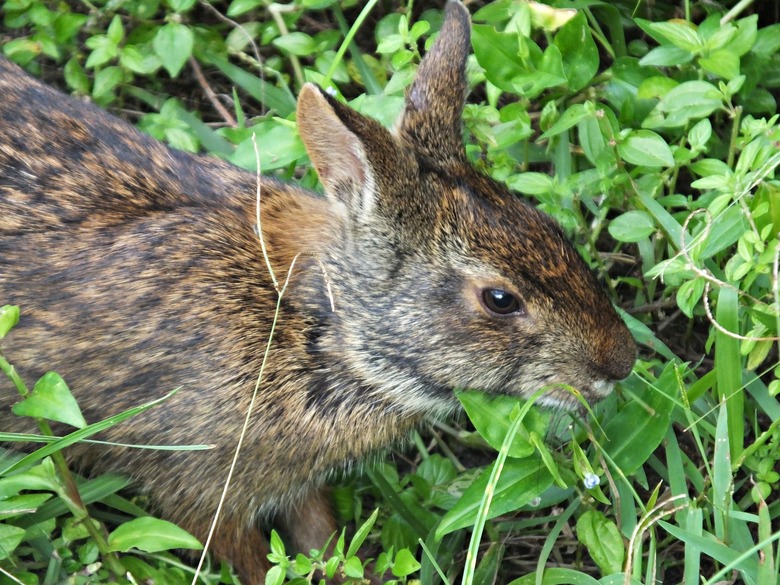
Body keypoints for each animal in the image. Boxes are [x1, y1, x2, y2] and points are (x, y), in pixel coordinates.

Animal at [0, 2, 632, 580]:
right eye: (500, 300)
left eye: (549, 226)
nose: (621, 363)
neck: (315, 327)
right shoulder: (199, 484)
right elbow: (247, 557)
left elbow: (318, 537)